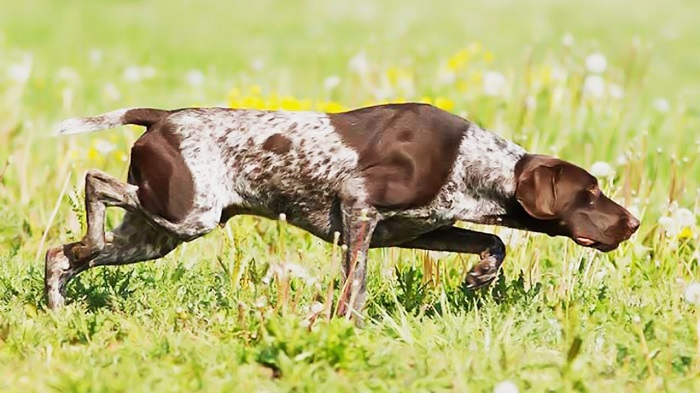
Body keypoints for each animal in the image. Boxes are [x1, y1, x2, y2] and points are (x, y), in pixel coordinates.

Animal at [45, 103, 640, 316]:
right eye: (589, 194)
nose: (633, 222)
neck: (472, 161)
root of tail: (162, 117)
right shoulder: (358, 206)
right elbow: (354, 284)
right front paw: (342, 324)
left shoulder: (417, 230)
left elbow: (493, 240)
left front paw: (480, 276)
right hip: (188, 213)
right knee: (93, 183)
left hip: (155, 232)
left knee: (61, 254)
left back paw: (57, 301)